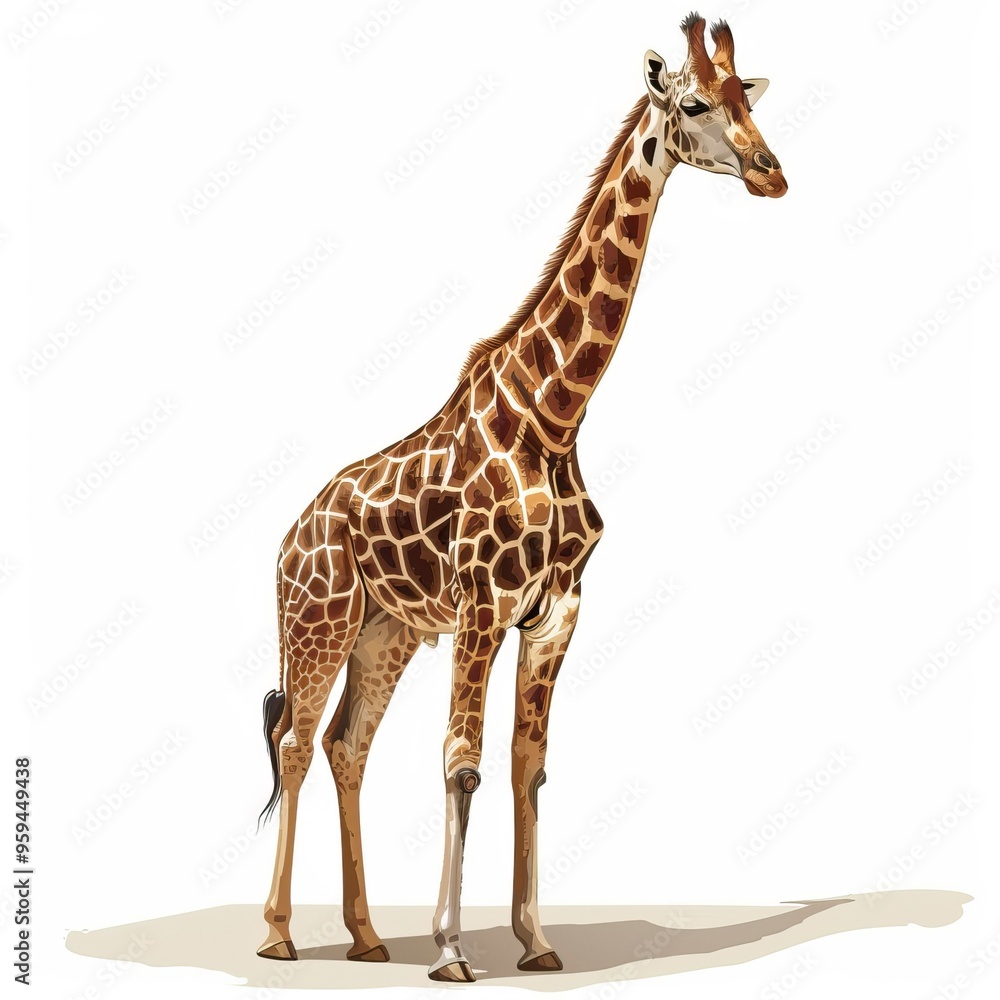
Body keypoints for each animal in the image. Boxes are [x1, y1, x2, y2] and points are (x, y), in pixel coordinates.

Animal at [255, 13, 787, 982]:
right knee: (296, 743)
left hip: (386, 633)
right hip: (318, 623)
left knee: (350, 747)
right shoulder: (482, 603)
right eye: (694, 103)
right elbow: (461, 759)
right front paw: (453, 949)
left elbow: (526, 763)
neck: (556, 416)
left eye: (748, 97)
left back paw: (364, 935)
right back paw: (279, 933)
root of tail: (288, 538)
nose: (772, 171)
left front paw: (536, 943)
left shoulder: (555, 612)